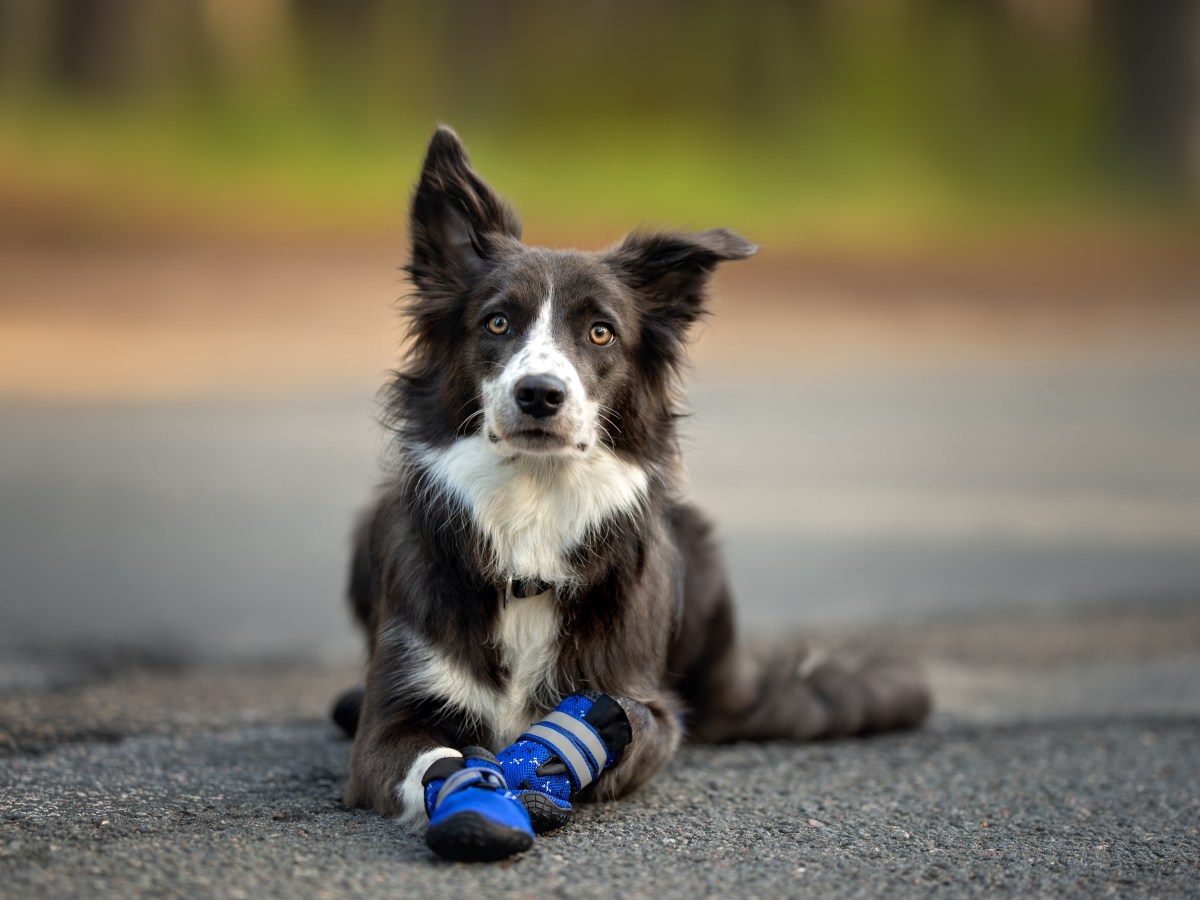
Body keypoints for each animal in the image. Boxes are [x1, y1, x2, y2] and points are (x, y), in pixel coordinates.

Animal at [333, 125, 931, 859]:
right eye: (497, 323)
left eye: (601, 331)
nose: (540, 395)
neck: (532, 515)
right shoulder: (392, 718)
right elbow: (431, 759)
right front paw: (473, 791)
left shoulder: (643, 702)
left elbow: (625, 730)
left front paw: (549, 766)